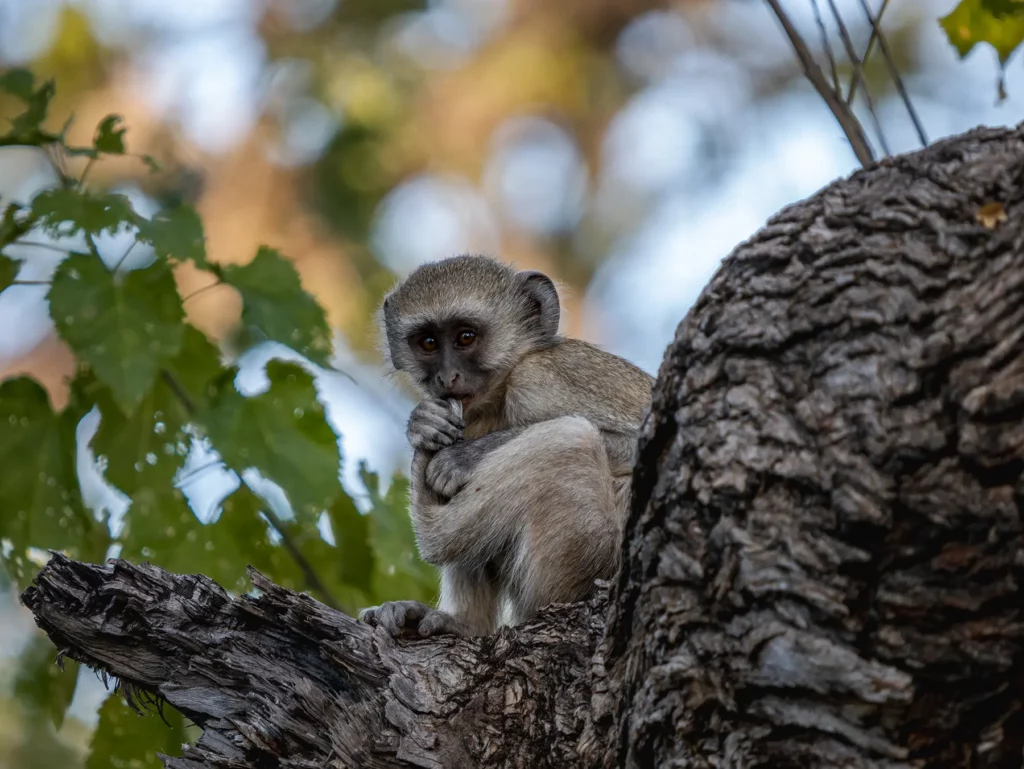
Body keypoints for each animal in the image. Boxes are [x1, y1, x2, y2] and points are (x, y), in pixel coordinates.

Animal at [358, 254, 654, 638]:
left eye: (466, 337)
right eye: (428, 342)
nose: (447, 378)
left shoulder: (539, 379)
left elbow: (636, 447)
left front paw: (463, 457)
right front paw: (424, 423)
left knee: (570, 441)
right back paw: (465, 623)